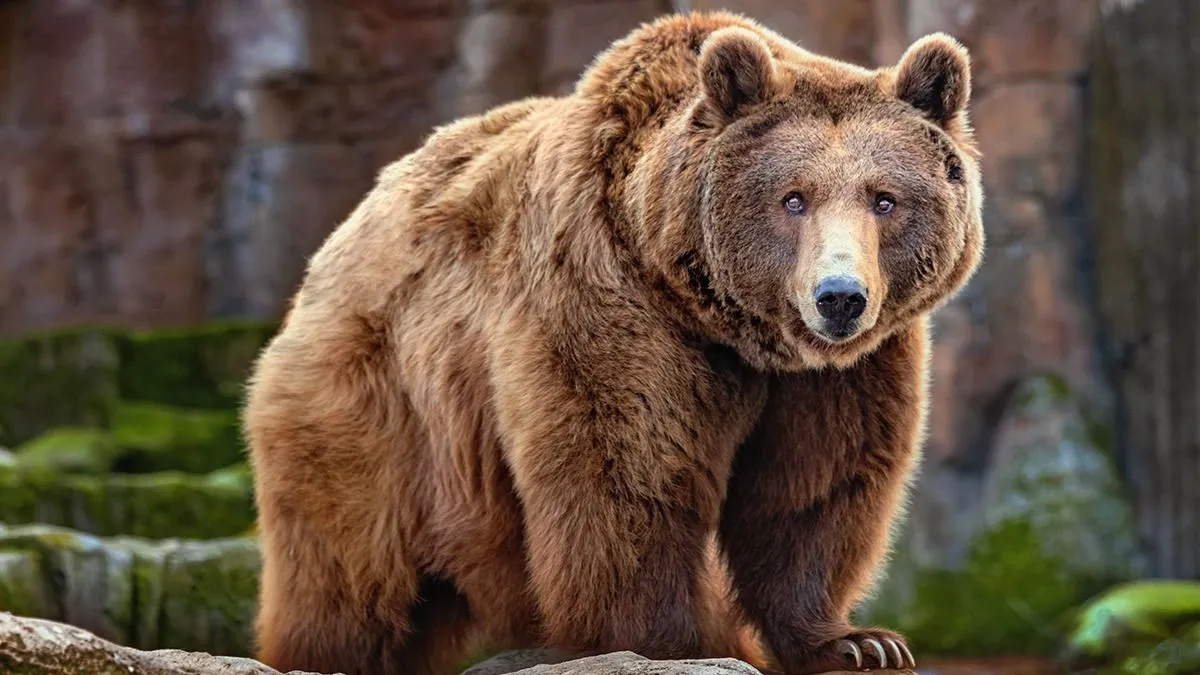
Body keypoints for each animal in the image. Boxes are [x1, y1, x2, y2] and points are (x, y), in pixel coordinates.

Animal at [243, 9, 984, 675]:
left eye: (885, 199)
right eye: (792, 198)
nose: (839, 296)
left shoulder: (843, 371)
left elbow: (815, 489)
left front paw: (858, 642)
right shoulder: (607, 301)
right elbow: (626, 474)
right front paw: (675, 641)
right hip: (377, 403)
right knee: (351, 570)